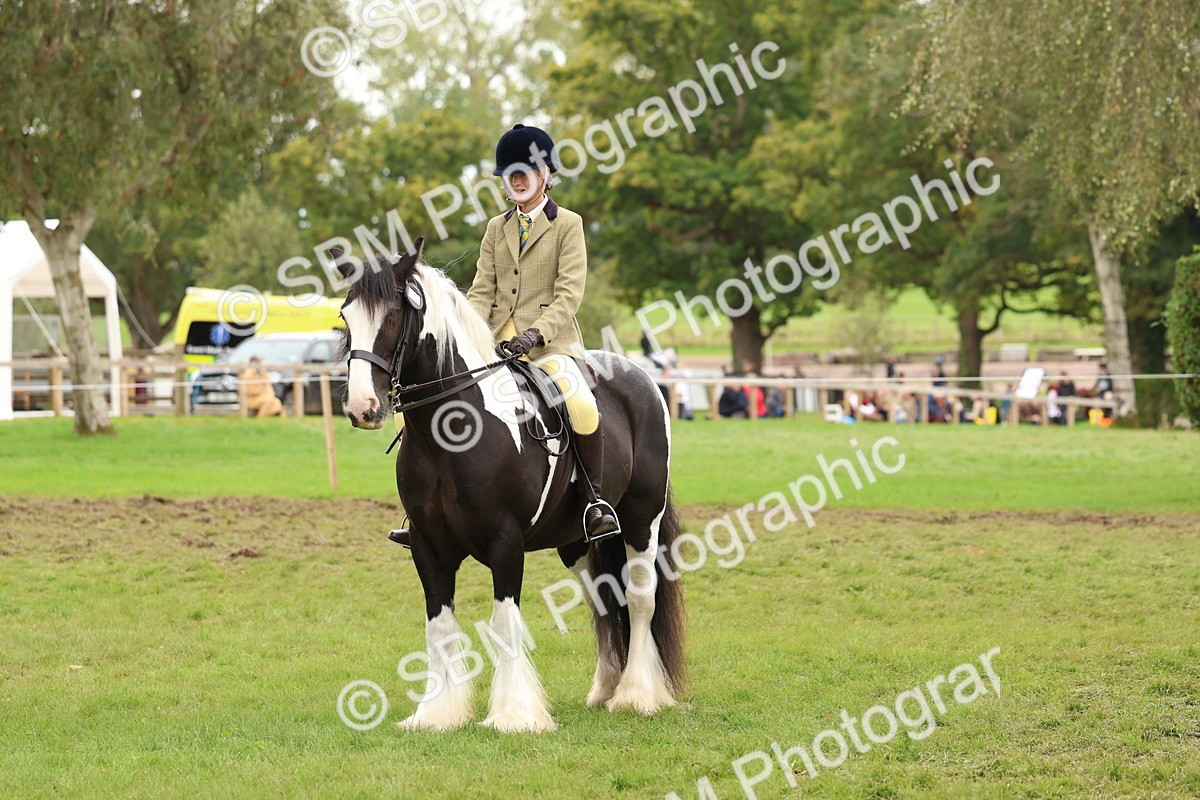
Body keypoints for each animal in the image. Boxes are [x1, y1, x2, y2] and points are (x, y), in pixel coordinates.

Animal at [336, 239, 686, 732]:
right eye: (346, 318)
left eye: (392, 316)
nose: (362, 407)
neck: (452, 431)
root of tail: (641, 379)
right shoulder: (427, 545)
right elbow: (439, 626)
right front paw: (437, 714)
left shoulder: (505, 543)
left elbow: (504, 625)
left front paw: (514, 716)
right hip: (577, 540)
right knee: (602, 600)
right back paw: (605, 690)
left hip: (641, 521)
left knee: (638, 599)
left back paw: (636, 695)